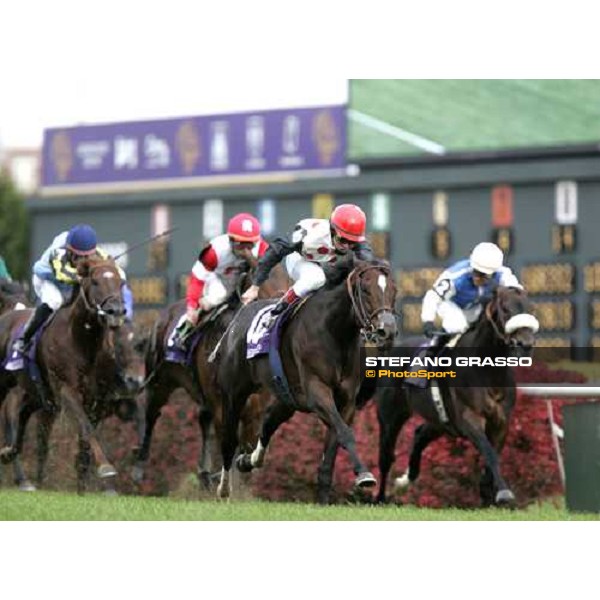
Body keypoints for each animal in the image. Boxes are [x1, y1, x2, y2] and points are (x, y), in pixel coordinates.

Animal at [0, 258, 144, 492]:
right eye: (95, 281)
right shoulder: (67, 390)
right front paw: (105, 468)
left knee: (24, 423)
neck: (81, 341)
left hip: (36, 396)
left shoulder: (101, 399)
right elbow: (86, 428)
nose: (116, 311)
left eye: (120, 282)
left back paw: (12, 454)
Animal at [135, 262, 290, 488]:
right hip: (160, 380)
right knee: (152, 413)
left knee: (203, 419)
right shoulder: (221, 402)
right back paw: (140, 463)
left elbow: (247, 440)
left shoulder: (255, 406)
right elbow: (228, 438)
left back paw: (206, 472)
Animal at [216, 255, 398, 500]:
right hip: (233, 393)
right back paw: (224, 488)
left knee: (268, 422)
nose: (387, 331)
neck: (335, 331)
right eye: (366, 289)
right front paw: (364, 475)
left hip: (287, 397)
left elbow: (333, 445)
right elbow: (345, 432)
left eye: (394, 290)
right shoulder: (317, 392)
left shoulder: (346, 401)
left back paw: (248, 460)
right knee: (228, 438)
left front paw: (325, 496)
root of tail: (238, 319)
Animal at [376, 286, 540, 506]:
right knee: (386, 457)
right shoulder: (469, 418)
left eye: (530, 309)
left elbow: (493, 455)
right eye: (505, 309)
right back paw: (380, 497)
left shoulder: (501, 421)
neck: (488, 371)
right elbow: (489, 452)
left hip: (441, 420)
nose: (525, 344)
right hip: (391, 416)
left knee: (420, 434)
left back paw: (405, 481)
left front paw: (487, 494)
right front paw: (504, 493)